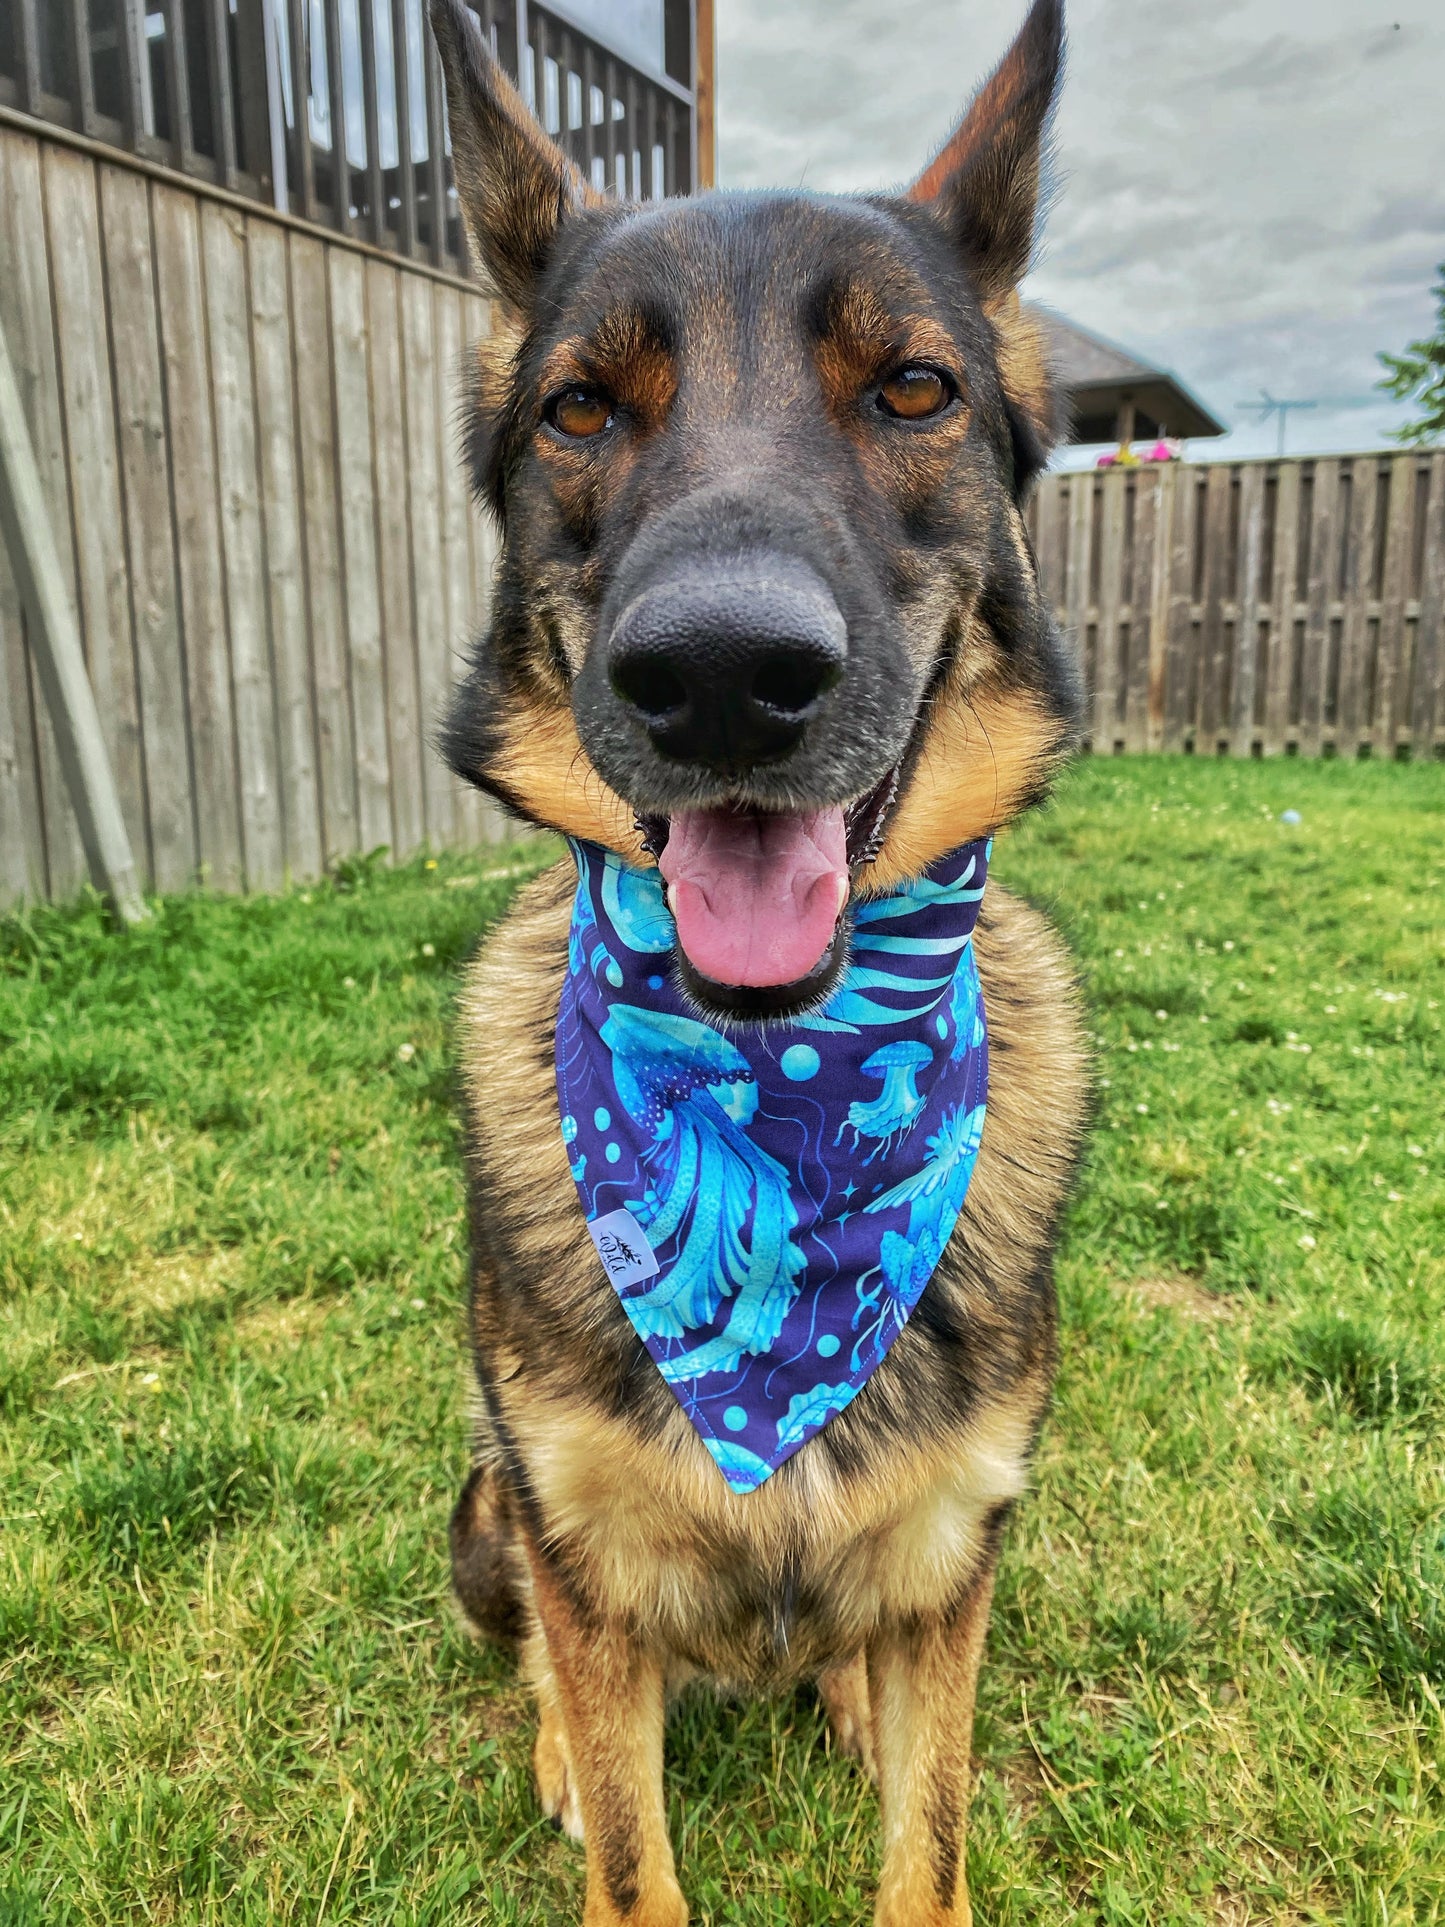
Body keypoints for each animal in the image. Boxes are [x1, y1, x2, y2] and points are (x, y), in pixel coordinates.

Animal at [435, 3, 1094, 1911]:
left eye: (914, 390)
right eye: (582, 408)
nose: (722, 674)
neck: (781, 1083)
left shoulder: (960, 1537)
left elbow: (929, 1842)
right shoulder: (571, 1527)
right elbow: (631, 1843)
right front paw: (590, 1784)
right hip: (489, 1508)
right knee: (551, 1659)